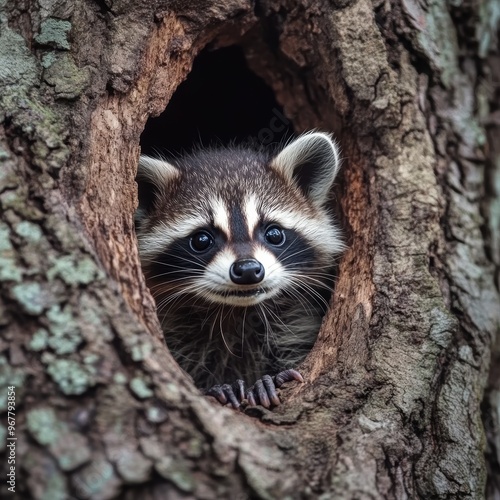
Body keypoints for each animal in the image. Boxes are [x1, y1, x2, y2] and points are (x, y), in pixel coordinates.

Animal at [135, 134, 346, 410]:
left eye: (274, 234)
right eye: (201, 240)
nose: (247, 270)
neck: (237, 311)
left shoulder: (294, 321)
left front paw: (270, 379)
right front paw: (217, 388)